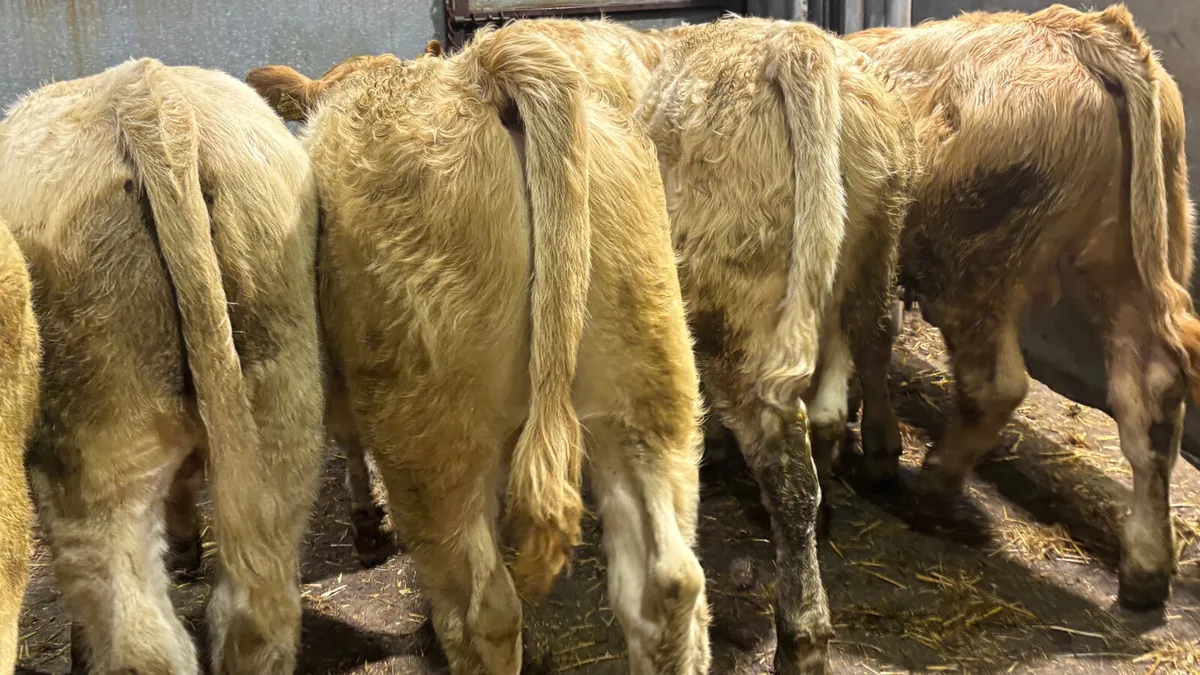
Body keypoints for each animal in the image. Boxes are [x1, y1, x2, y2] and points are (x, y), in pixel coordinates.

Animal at [246, 22, 711, 675]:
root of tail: (483, 71)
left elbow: (348, 443)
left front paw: (366, 524)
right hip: (649, 390)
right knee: (670, 584)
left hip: (429, 435)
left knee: (483, 607)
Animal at [637, 17, 918, 674]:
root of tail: (797, 43)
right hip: (868, 255)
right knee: (859, 360)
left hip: (732, 316)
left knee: (786, 470)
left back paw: (801, 636)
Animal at [846, 3, 1199, 610]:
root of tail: (1081, 30)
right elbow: (874, 343)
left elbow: (869, 342)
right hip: (1139, 257)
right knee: (1149, 398)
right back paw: (1147, 569)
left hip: (971, 267)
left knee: (996, 386)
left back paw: (934, 487)